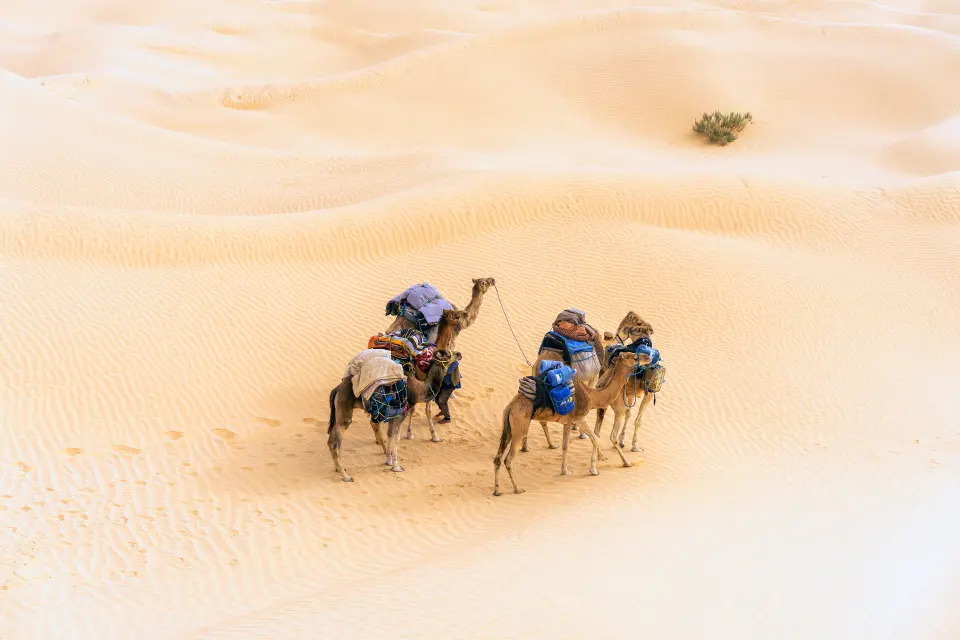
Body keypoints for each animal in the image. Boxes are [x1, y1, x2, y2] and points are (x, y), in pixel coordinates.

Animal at [327, 349, 460, 482]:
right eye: (448, 353)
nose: (459, 354)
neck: (419, 389)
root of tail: (337, 389)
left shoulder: (393, 416)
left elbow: (390, 435)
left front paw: (389, 461)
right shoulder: (401, 415)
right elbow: (396, 438)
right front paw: (396, 466)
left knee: (331, 440)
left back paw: (338, 468)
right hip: (344, 411)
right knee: (335, 442)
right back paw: (346, 476)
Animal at [492, 350, 650, 496]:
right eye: (635, 357)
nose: (648, 357)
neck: (593, 396)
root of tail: (510, 407)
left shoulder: (568, 422)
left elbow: (566, 446)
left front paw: (565, 470)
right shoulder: (580, 418)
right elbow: (595, 438)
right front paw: (595, 469)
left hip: (508, 429)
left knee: (498, 458)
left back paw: (497, 490)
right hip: (519, 428)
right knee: (508, 459)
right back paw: (517, 489)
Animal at [523, 311, 654, 450]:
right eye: (639, 323)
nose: (651, 329)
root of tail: (539, 362)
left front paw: (576, 427)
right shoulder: (594, 376)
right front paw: (582, 433)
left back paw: (529, 446)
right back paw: (549, 444)